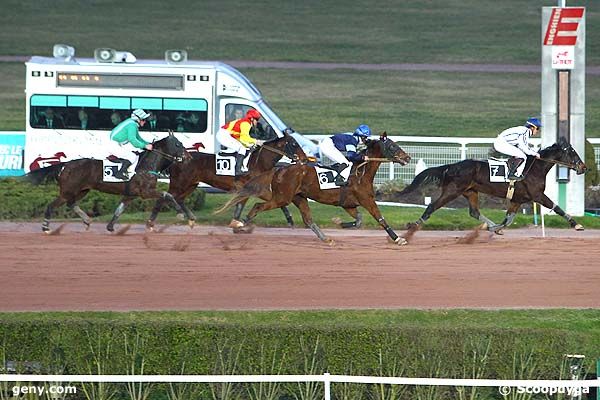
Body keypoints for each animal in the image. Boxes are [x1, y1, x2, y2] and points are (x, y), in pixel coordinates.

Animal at [25, 134, 188, 233]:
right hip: (67, 191)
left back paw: (86, 220)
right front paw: (181, 214)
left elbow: (119, 209)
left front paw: (110, 227)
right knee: (51, 205)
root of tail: (65, 165)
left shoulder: (130, 194)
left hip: (82, 190)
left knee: (71, 204)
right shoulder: (145, 192)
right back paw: (46, 227)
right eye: (178, 144)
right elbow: (167, 195)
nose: (189, 157)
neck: (146, 166)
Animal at [145, 130, 304, 230]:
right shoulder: (252, 188)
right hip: (179, 184)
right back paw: (150, 223)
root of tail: (177, 159)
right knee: (165, 197)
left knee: (179, 199)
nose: (304, 158)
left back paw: (190, 219)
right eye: (294, 144)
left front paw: (290, 220)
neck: (258, 162)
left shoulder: (254, 189)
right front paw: (238, 222)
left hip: (191, 184)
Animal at [219, 134, 412, 244]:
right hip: (282, 197)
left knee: (308, 220)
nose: (408, 158)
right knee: (258, 206)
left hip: (299, 197)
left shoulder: (348, 204)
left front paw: (338, 222)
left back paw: (325, 238)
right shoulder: (367, 200)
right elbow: (381, 219)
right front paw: (398, 239)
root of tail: (279, 169)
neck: (361, 173)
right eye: (393, 146)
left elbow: (358, 221)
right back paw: (240, 223)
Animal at [398, 137, 584, 233]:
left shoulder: (517, 199)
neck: (535, 168)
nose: (584, 167)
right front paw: (576, 224)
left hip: (471, 192)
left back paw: (490, 225)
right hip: (452, 191)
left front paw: (497, 228)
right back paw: (413, 225)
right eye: (573, 153)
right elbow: (556, 207)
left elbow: (508, 219)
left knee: (474, 212)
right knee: (432, 206)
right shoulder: (537, 195)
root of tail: (451, 166)